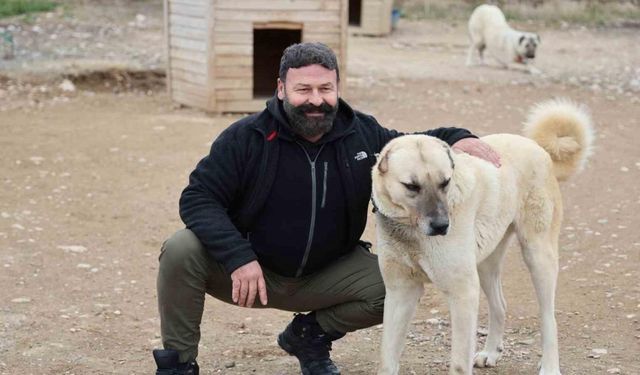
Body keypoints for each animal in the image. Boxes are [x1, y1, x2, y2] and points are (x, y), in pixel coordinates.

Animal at [372, 100, 592, 375]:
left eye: (445, 182)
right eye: (411, 186)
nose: (442, 226)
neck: (410, 231)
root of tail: (538, 148)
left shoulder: (463, 293)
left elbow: (458, 363)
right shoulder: (400, 292)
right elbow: (387, 357)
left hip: (538, 257)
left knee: (548, 317)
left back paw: (550, 366)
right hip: (486, 263)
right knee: (500, 305)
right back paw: (491, 352)